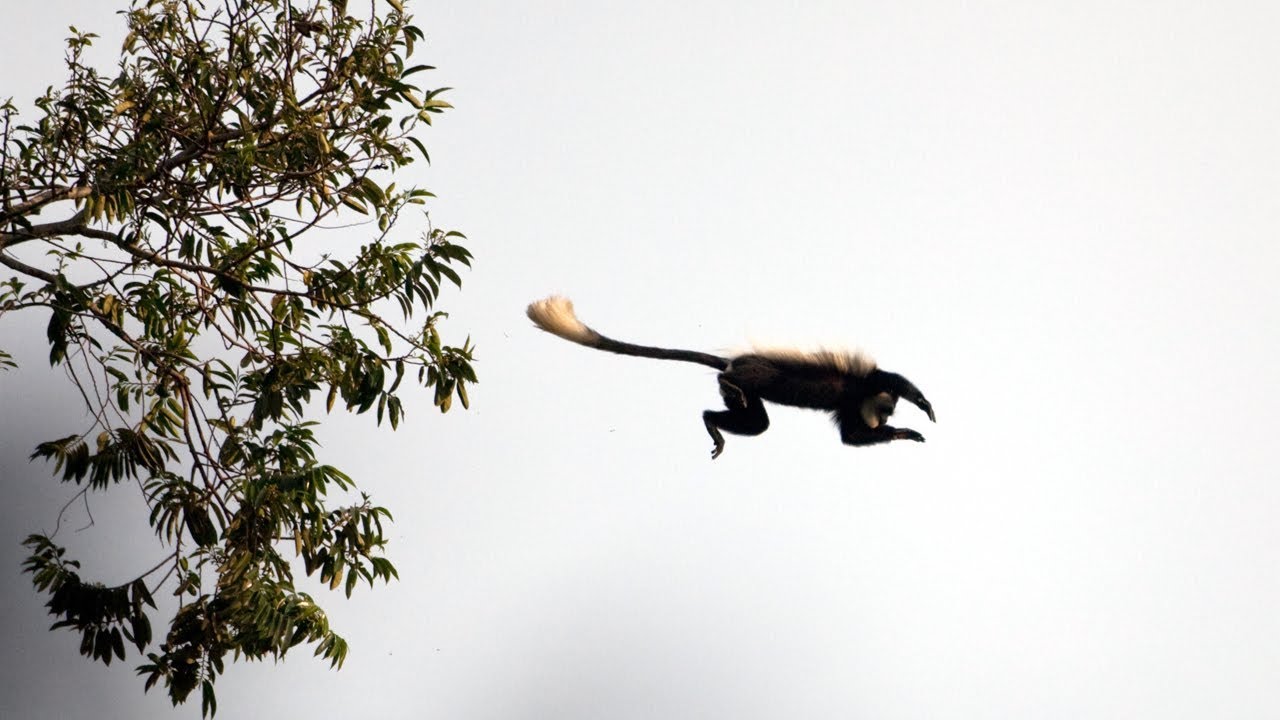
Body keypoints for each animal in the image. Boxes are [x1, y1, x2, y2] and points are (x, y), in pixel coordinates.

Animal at [526, 296, 934, 458]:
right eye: (887, 409)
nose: (883, 420)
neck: (859, 398)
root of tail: (731, 366)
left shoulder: (852, 407)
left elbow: (852, 437)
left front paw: (903, 434)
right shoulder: (866, 383)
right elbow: (893, 378)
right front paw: (923, 409)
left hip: (749, 396)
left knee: (754, 422)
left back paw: (712, 420)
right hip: (759, 373)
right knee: (755, 404)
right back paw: (725, 396)